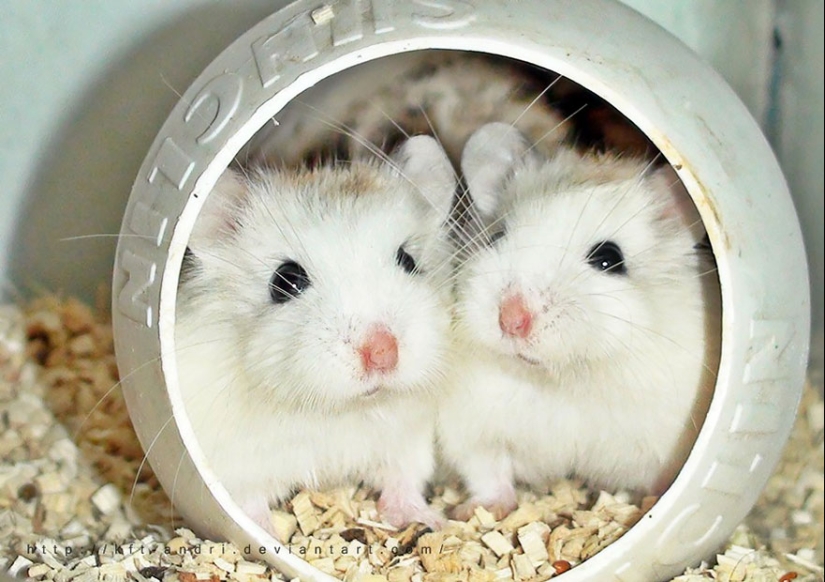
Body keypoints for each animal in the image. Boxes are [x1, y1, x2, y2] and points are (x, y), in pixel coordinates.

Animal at [174, 136, 457, 534]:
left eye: (408, 260)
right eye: (285, 280)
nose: (383, 353)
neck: (336, 408)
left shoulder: (408, 440)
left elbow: (403, 481)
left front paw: (428, 519)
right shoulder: (234, 468)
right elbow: (247, 505)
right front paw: (265, 535)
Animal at [438, 123, 721, 519]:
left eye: (609, 258)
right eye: (496, 236)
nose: (511, 319)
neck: (563, 377)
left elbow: (663, 478)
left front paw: (650, 506)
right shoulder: (470, 428)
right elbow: (487, 471)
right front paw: (474, 511)